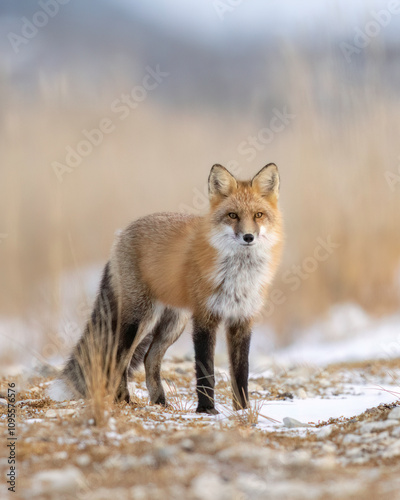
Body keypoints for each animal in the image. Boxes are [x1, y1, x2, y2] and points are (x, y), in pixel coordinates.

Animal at [51, 164, 282, 414]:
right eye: (233, 215)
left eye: (258, 215)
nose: (248, 237)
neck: (238, 276)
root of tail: (123, 232)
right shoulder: (204, 318)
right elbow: (205, 371)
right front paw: (207, 410)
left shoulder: (242, 320)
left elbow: (241, 373)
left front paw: (243, 410)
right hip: (140, 319)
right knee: (119, 357)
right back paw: (123, 399)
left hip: (174, 323)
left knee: (149, 359)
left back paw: (159, 401)